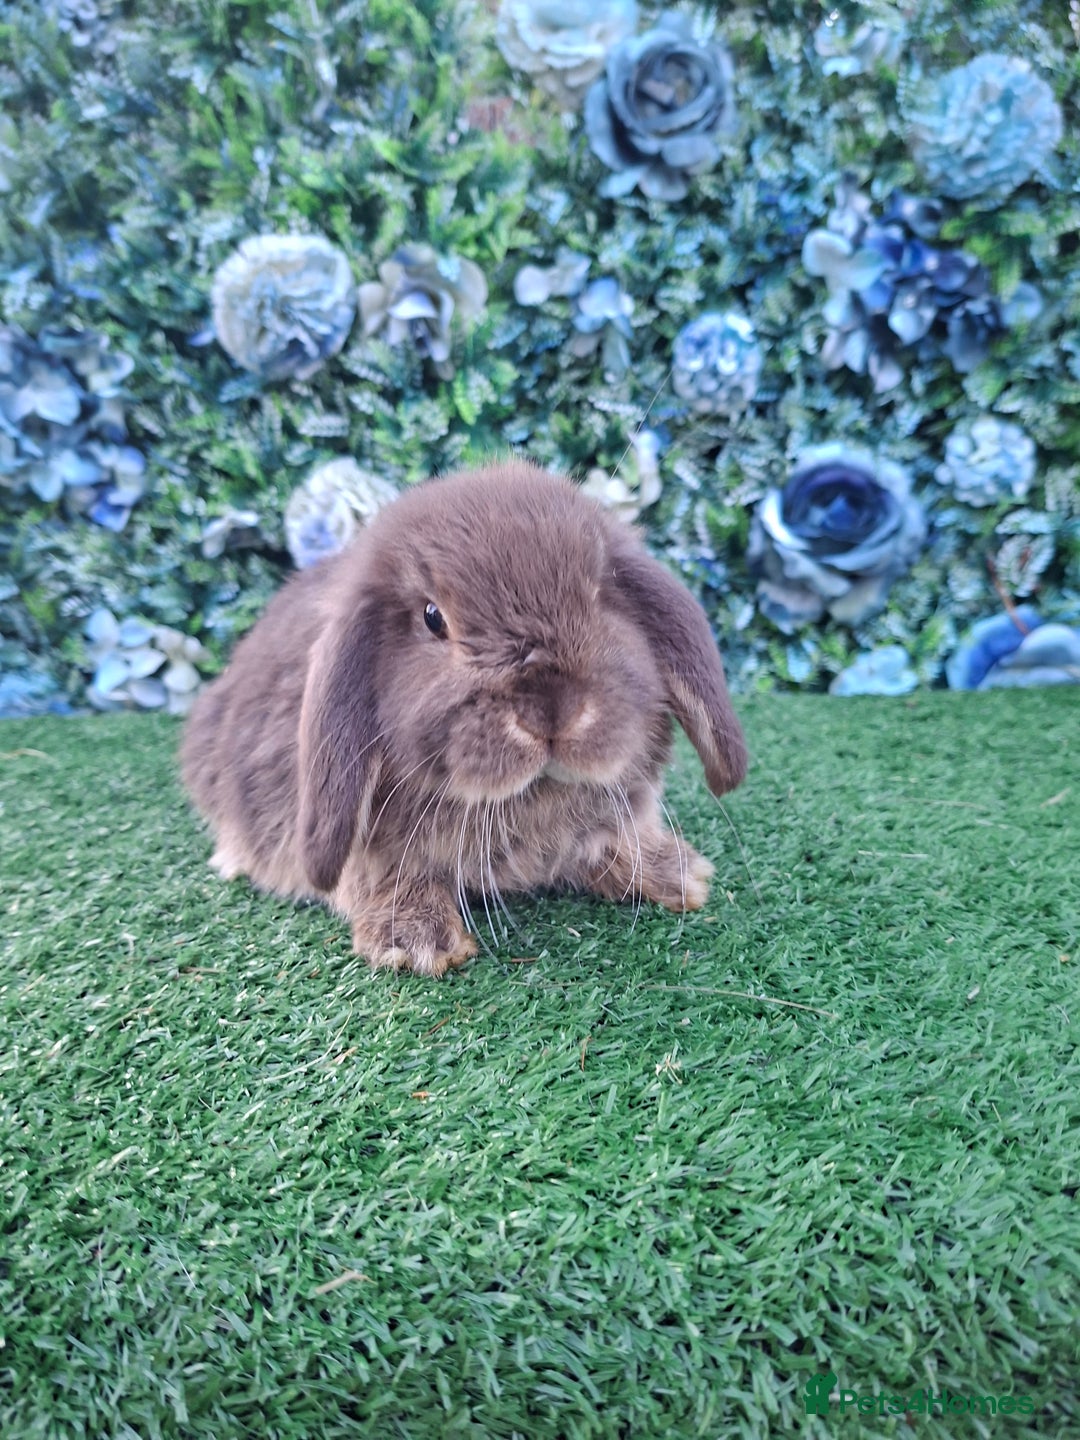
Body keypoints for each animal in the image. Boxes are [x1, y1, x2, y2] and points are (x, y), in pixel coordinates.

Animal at [181, 459, 748, 976]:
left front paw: (679, 875)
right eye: (434, 618)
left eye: (600, 593)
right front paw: (417, 943)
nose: (551, 706)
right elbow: (382, 875)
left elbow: (616, 840)